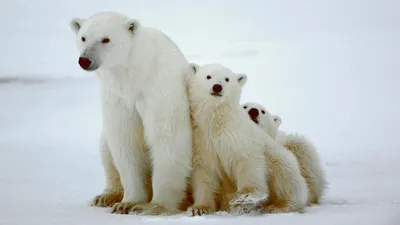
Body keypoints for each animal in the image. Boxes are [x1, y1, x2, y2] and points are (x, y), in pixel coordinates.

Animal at [70, 11, 194, 215]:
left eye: (106, 39)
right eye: (83, 37)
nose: (85, 60)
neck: (136, 75)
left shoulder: (160, 89)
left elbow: (167, 137)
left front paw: (154, 206)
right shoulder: (117, 96)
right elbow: (125, 139)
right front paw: (127, 203)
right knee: (106, 148)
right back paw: (106, 196)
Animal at [187, 63, 306, 216]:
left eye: (227, 79)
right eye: (208, 76)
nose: (217, 87)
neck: (217, 122)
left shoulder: (239, 136)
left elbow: (247, 160)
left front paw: (245, 196)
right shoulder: (202, 141)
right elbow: (204, 172)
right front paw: (199, 208)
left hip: (280, 159)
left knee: (284, 177)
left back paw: (278, 206)